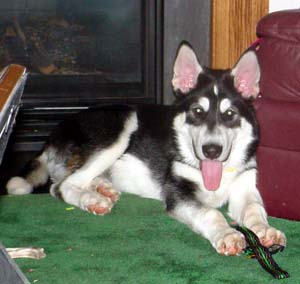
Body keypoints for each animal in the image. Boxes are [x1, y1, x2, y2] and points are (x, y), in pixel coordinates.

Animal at [5, 41, 284, 255]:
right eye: (197, 111)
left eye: (229, 114)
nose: (211, 150)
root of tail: (52, 135)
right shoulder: (179, 195)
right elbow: (210, 214)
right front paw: (227, 234)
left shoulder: (245, 187)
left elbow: (255, 209)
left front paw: (266, 230)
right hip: (124, 123)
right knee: (60, 186)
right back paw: (92, 199)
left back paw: (102, 188)